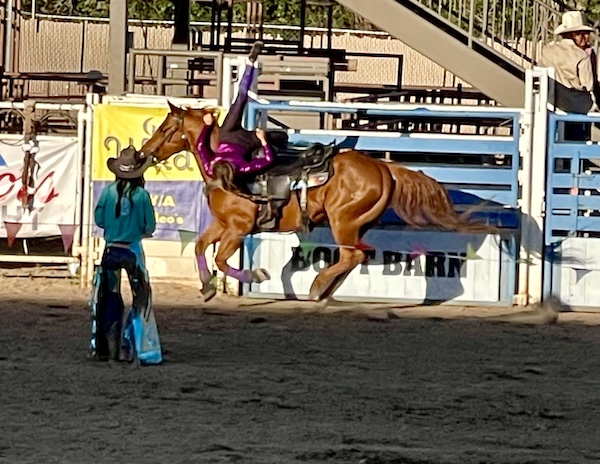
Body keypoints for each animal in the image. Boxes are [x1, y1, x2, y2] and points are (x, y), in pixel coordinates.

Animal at [141, 103, 492, 302]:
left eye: (166, 127)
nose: (146, 151)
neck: (224, 161)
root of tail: (384, 168)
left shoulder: (238, 229)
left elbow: (222, 260)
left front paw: (257, 276)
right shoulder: (222, 224)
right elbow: (201, 248)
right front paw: (207, 287)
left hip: (343, 222)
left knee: (353, 255)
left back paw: (317, 287)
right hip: (359, 224)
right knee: (358, 256)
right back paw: (326, 291)